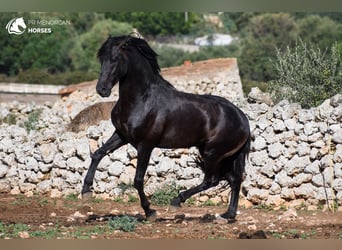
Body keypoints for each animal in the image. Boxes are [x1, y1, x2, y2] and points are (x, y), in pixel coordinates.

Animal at [81, 32, 250, 221]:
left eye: (115, 59)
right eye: (101, 58)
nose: (102, 90)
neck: (142, 100)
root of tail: (242, 117)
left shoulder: (146, 145)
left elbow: (138, 180)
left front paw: (150, 211)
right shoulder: (122, 135)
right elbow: (98, 153)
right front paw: (86, 191)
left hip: (213, 153)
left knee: (212, 180)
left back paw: (177, 201)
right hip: (222, 155)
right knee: (233, 180)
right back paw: (227, 215)